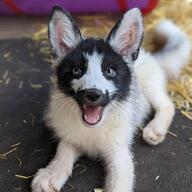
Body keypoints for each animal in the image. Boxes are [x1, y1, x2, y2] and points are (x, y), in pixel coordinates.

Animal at [31, 5, 190, 192]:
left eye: (109, 71)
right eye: (77, 70)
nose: (93, 94)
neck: (93, 130)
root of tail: (148, 55)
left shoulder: (120, 155)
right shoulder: (72, 136)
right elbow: (63, 149)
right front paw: (52, 172)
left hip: (150, 86)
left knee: (166, 104)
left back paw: (155, 128)